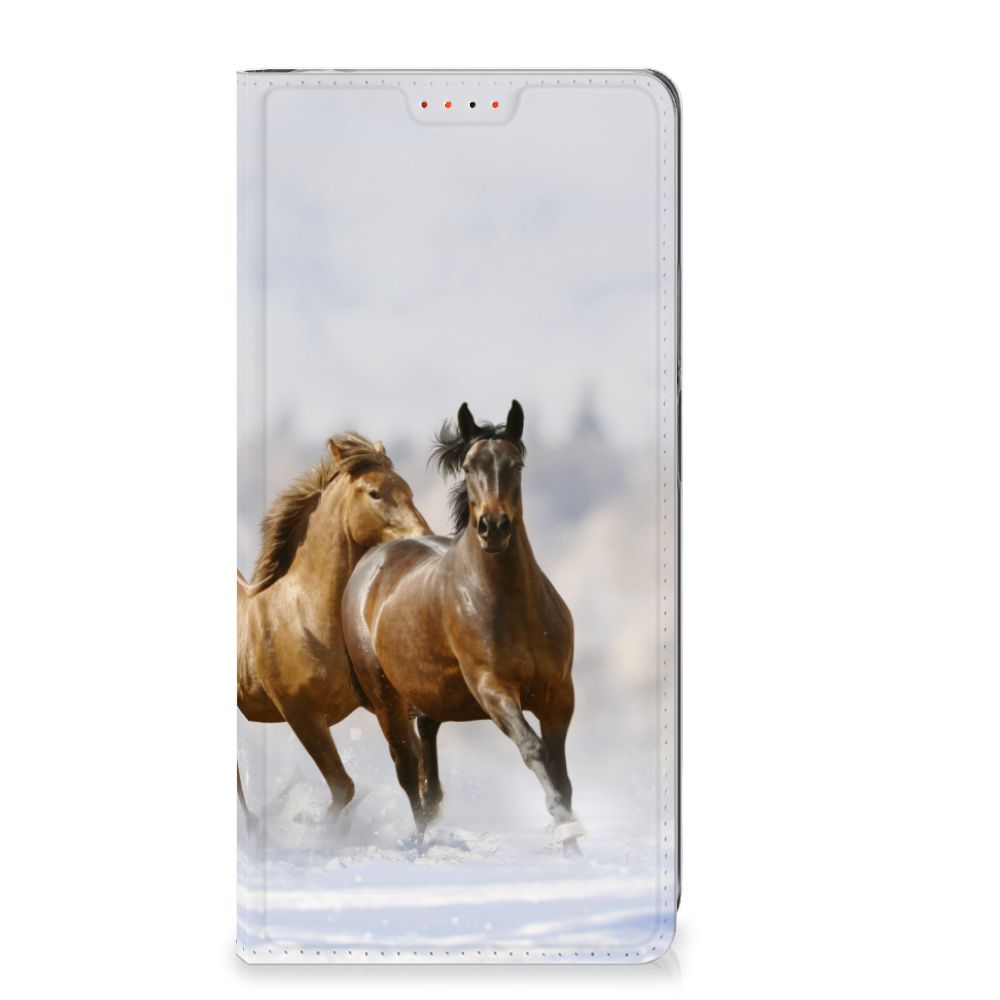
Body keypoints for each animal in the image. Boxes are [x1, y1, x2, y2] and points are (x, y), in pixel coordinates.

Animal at [238, 433, 431, 831]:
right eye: (374, 493)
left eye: (407, 489)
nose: (424, 537)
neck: (304, 616)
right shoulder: (302, 715)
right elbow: (344, 786)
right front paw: (312, 828)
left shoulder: (384, 703)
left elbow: (412, 769)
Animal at [342, 401, 582, 853]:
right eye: (470, 467)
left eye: (516, 464)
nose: (493, 527)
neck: (513, 605)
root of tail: (371, 562)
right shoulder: (492, 687)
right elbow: (534, 750)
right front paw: (564, 826)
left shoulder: (559, 694)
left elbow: (561, 772)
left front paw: (573, 844)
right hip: (386, 701)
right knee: (408, 771)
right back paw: (421, 844)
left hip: (430, 697)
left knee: (428, 771)